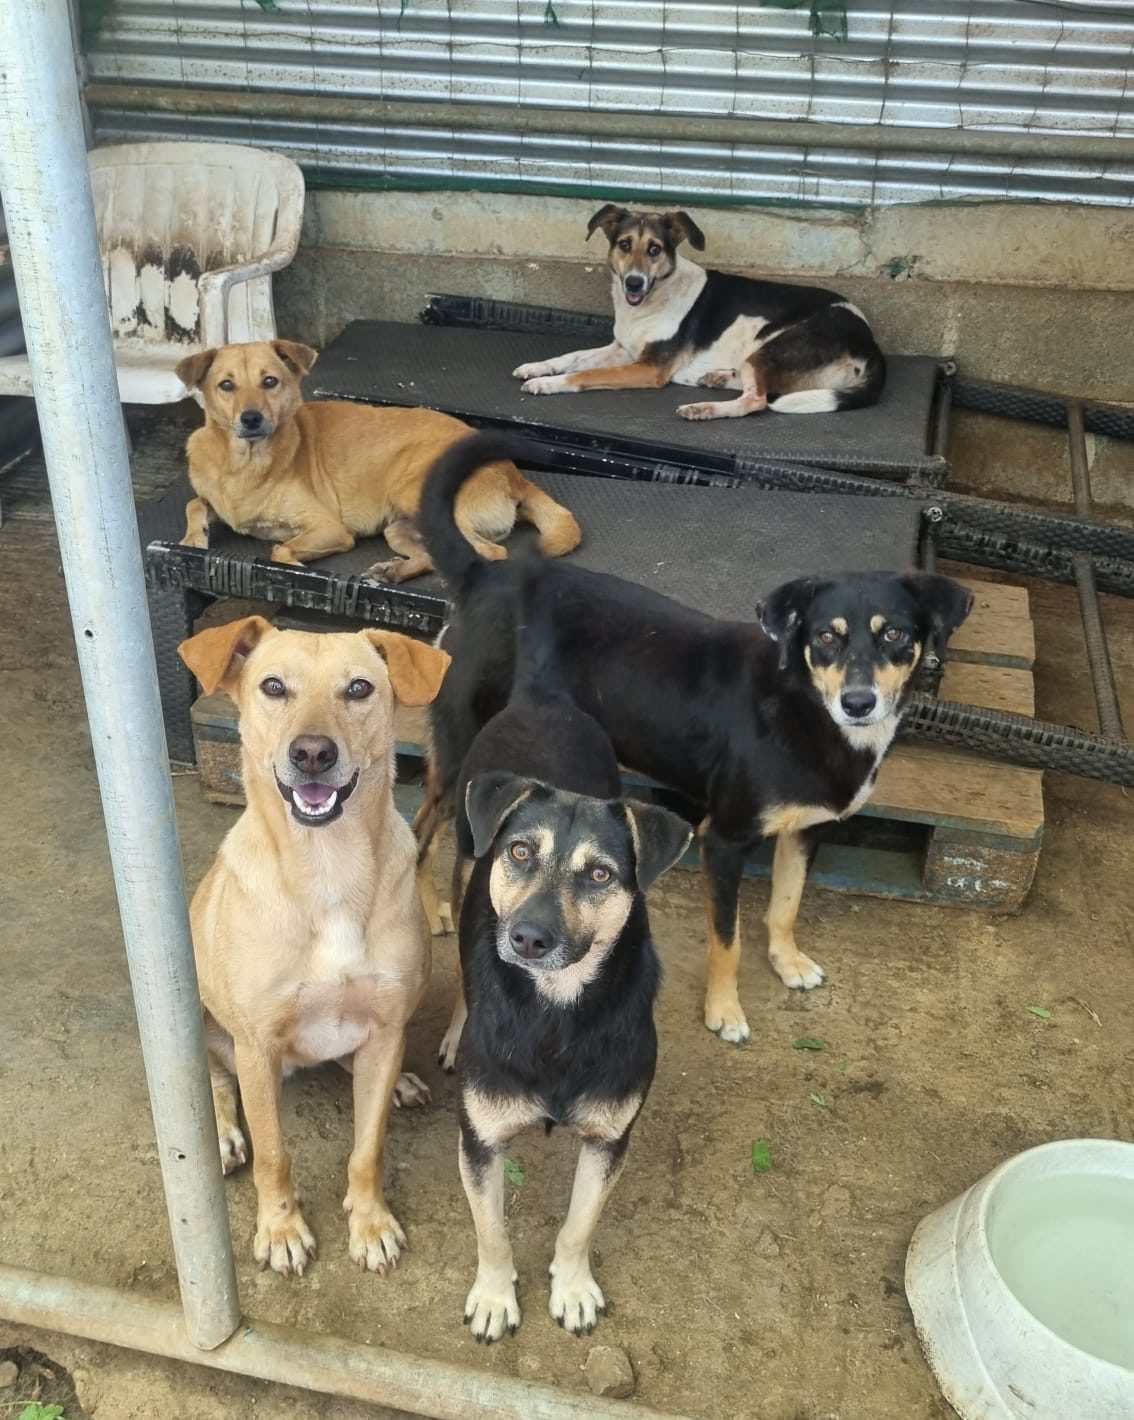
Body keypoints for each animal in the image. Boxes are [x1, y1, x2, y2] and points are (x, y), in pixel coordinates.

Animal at [174, 339, 580, 582]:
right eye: (226, 386)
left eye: (270, 381)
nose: (251, 419)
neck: (242, 466)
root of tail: (513, 473)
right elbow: (194, 503)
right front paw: (193, 539)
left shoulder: (329, 528)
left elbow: (279, 548)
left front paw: (290, 565)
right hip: (398, 528)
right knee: (435, 555)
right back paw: (393, 573)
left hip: (413, 493)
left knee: (490, 553)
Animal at [178, 616, 450, 1276]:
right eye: (273, 686)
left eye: (359, 688)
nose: (312, 753)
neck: (329, 871)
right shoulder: (256, 1046)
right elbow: (275, 1154)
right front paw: (280, 1231)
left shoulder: (387, 1026)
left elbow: (368, 1148)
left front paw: (371, 1222)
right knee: (214, 1079)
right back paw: (222, 1133)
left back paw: (398, 1083)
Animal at [414, 434, 972, 1049]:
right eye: (826, 637)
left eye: (894, 633)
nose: (858, 701)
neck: (802, 707)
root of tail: (483, 575)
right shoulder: (724, 840)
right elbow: (728, 940)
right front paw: (725, 1011)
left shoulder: (805, 830)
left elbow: (786, 903)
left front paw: (788, 961)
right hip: (461, 757)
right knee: (420, 831)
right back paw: (432, 910)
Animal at [449, 558, 691, 1342]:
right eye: (522, 852)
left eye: (601, 874)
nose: (527, 937)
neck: (555, 1011)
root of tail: (541, 694)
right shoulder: (480, 1139)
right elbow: (491, 1229)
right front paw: (496, 1295)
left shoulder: (611, 1137)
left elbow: (580, 1223)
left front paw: (574, 1285)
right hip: (459, 858)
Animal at [513, 205, 886, 421]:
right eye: (624, 245)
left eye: (655, 249)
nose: (634, 283)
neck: (652, 300)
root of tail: (870, 340)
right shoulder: (623, 349)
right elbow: (573, 356)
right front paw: (537, 368)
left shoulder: (649, 367)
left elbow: (585, 374)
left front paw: (548, 384)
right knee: (755, 386)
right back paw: (715, 377)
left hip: (776, 346)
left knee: (757, 400)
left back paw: (702, 408)